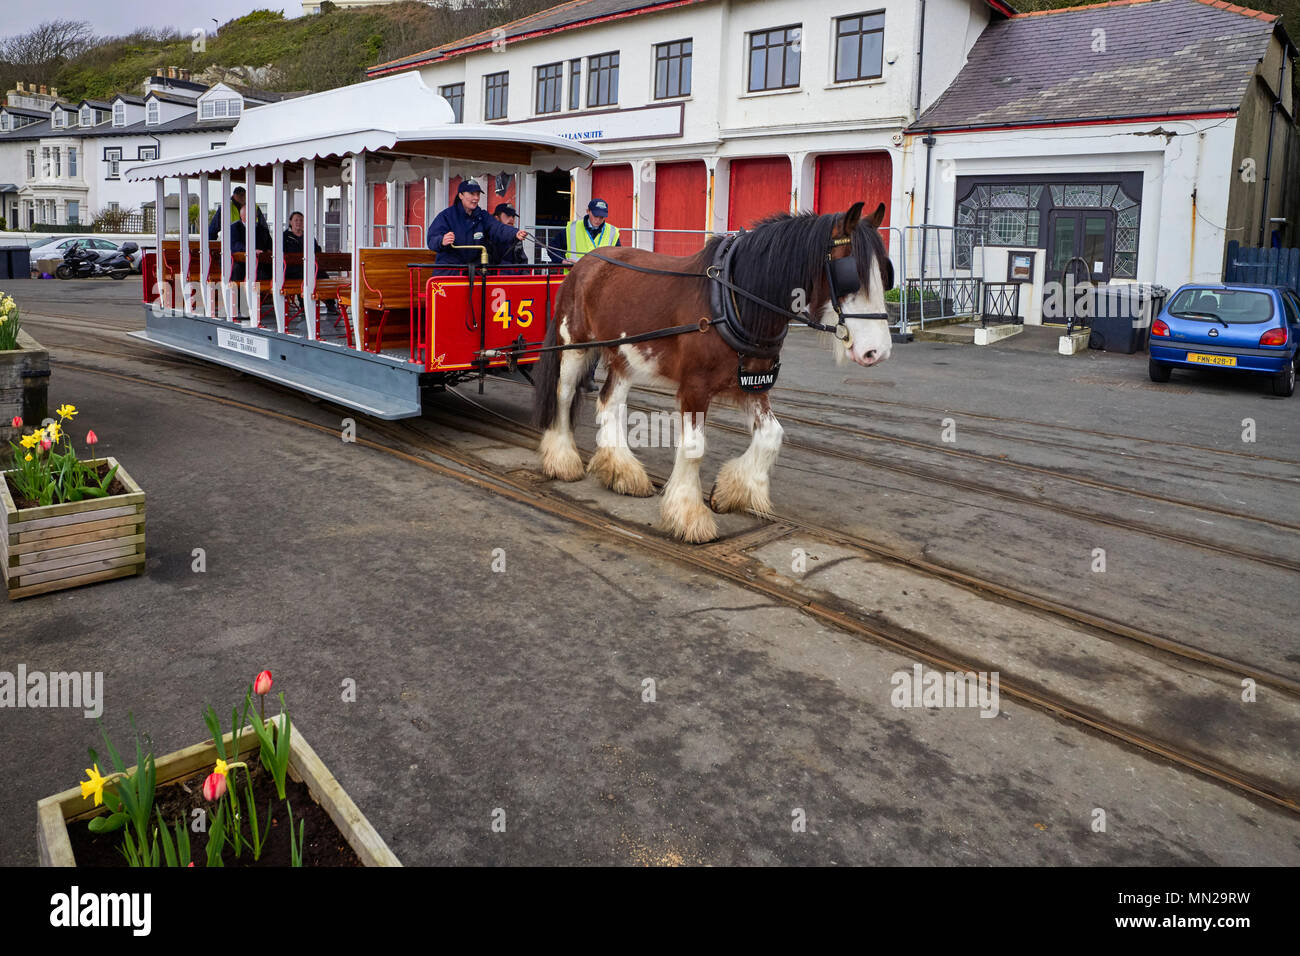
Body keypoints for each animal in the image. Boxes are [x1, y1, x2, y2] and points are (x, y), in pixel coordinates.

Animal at [530, 200, 894, 546]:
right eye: (851, 274)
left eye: (886, 274)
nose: (878, 352)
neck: (734, 300)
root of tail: (585, 262)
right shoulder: (695, 387)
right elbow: (694, 448)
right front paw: (688, 515)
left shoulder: (752, 386)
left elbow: (771, 436)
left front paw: (732, 491)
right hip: (574, 344)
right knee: (564, 393)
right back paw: (562, 459)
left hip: (625, 356)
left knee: (610, 403)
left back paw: (621, 469)